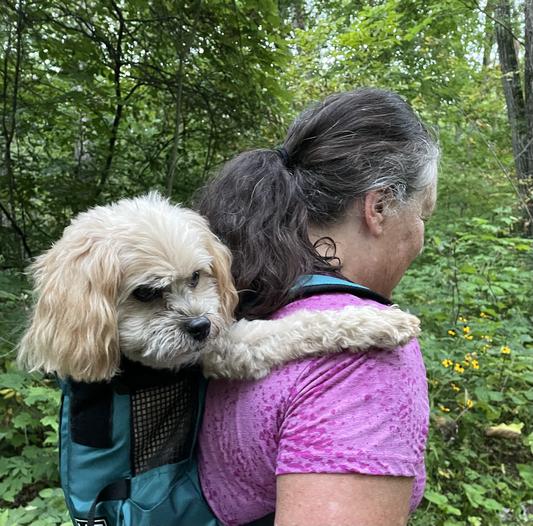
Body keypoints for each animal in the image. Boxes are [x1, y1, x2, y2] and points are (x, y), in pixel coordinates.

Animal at [17, 194, 420, 384]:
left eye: (196, 276)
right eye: (145, 293)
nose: (201, 327)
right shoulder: (218, 353)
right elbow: (297, 327)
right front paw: (382, 323)